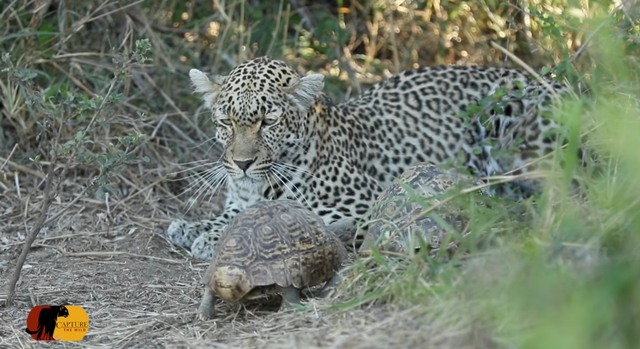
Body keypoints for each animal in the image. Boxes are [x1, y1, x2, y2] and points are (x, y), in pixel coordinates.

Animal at [165, 55, 576, 260]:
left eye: (268, 121)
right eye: (226, 122)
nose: (242, 163)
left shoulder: (361, 203)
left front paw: (210, 237)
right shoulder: (240, 199)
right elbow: (232, 215)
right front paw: (191, 226)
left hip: (512, 115)